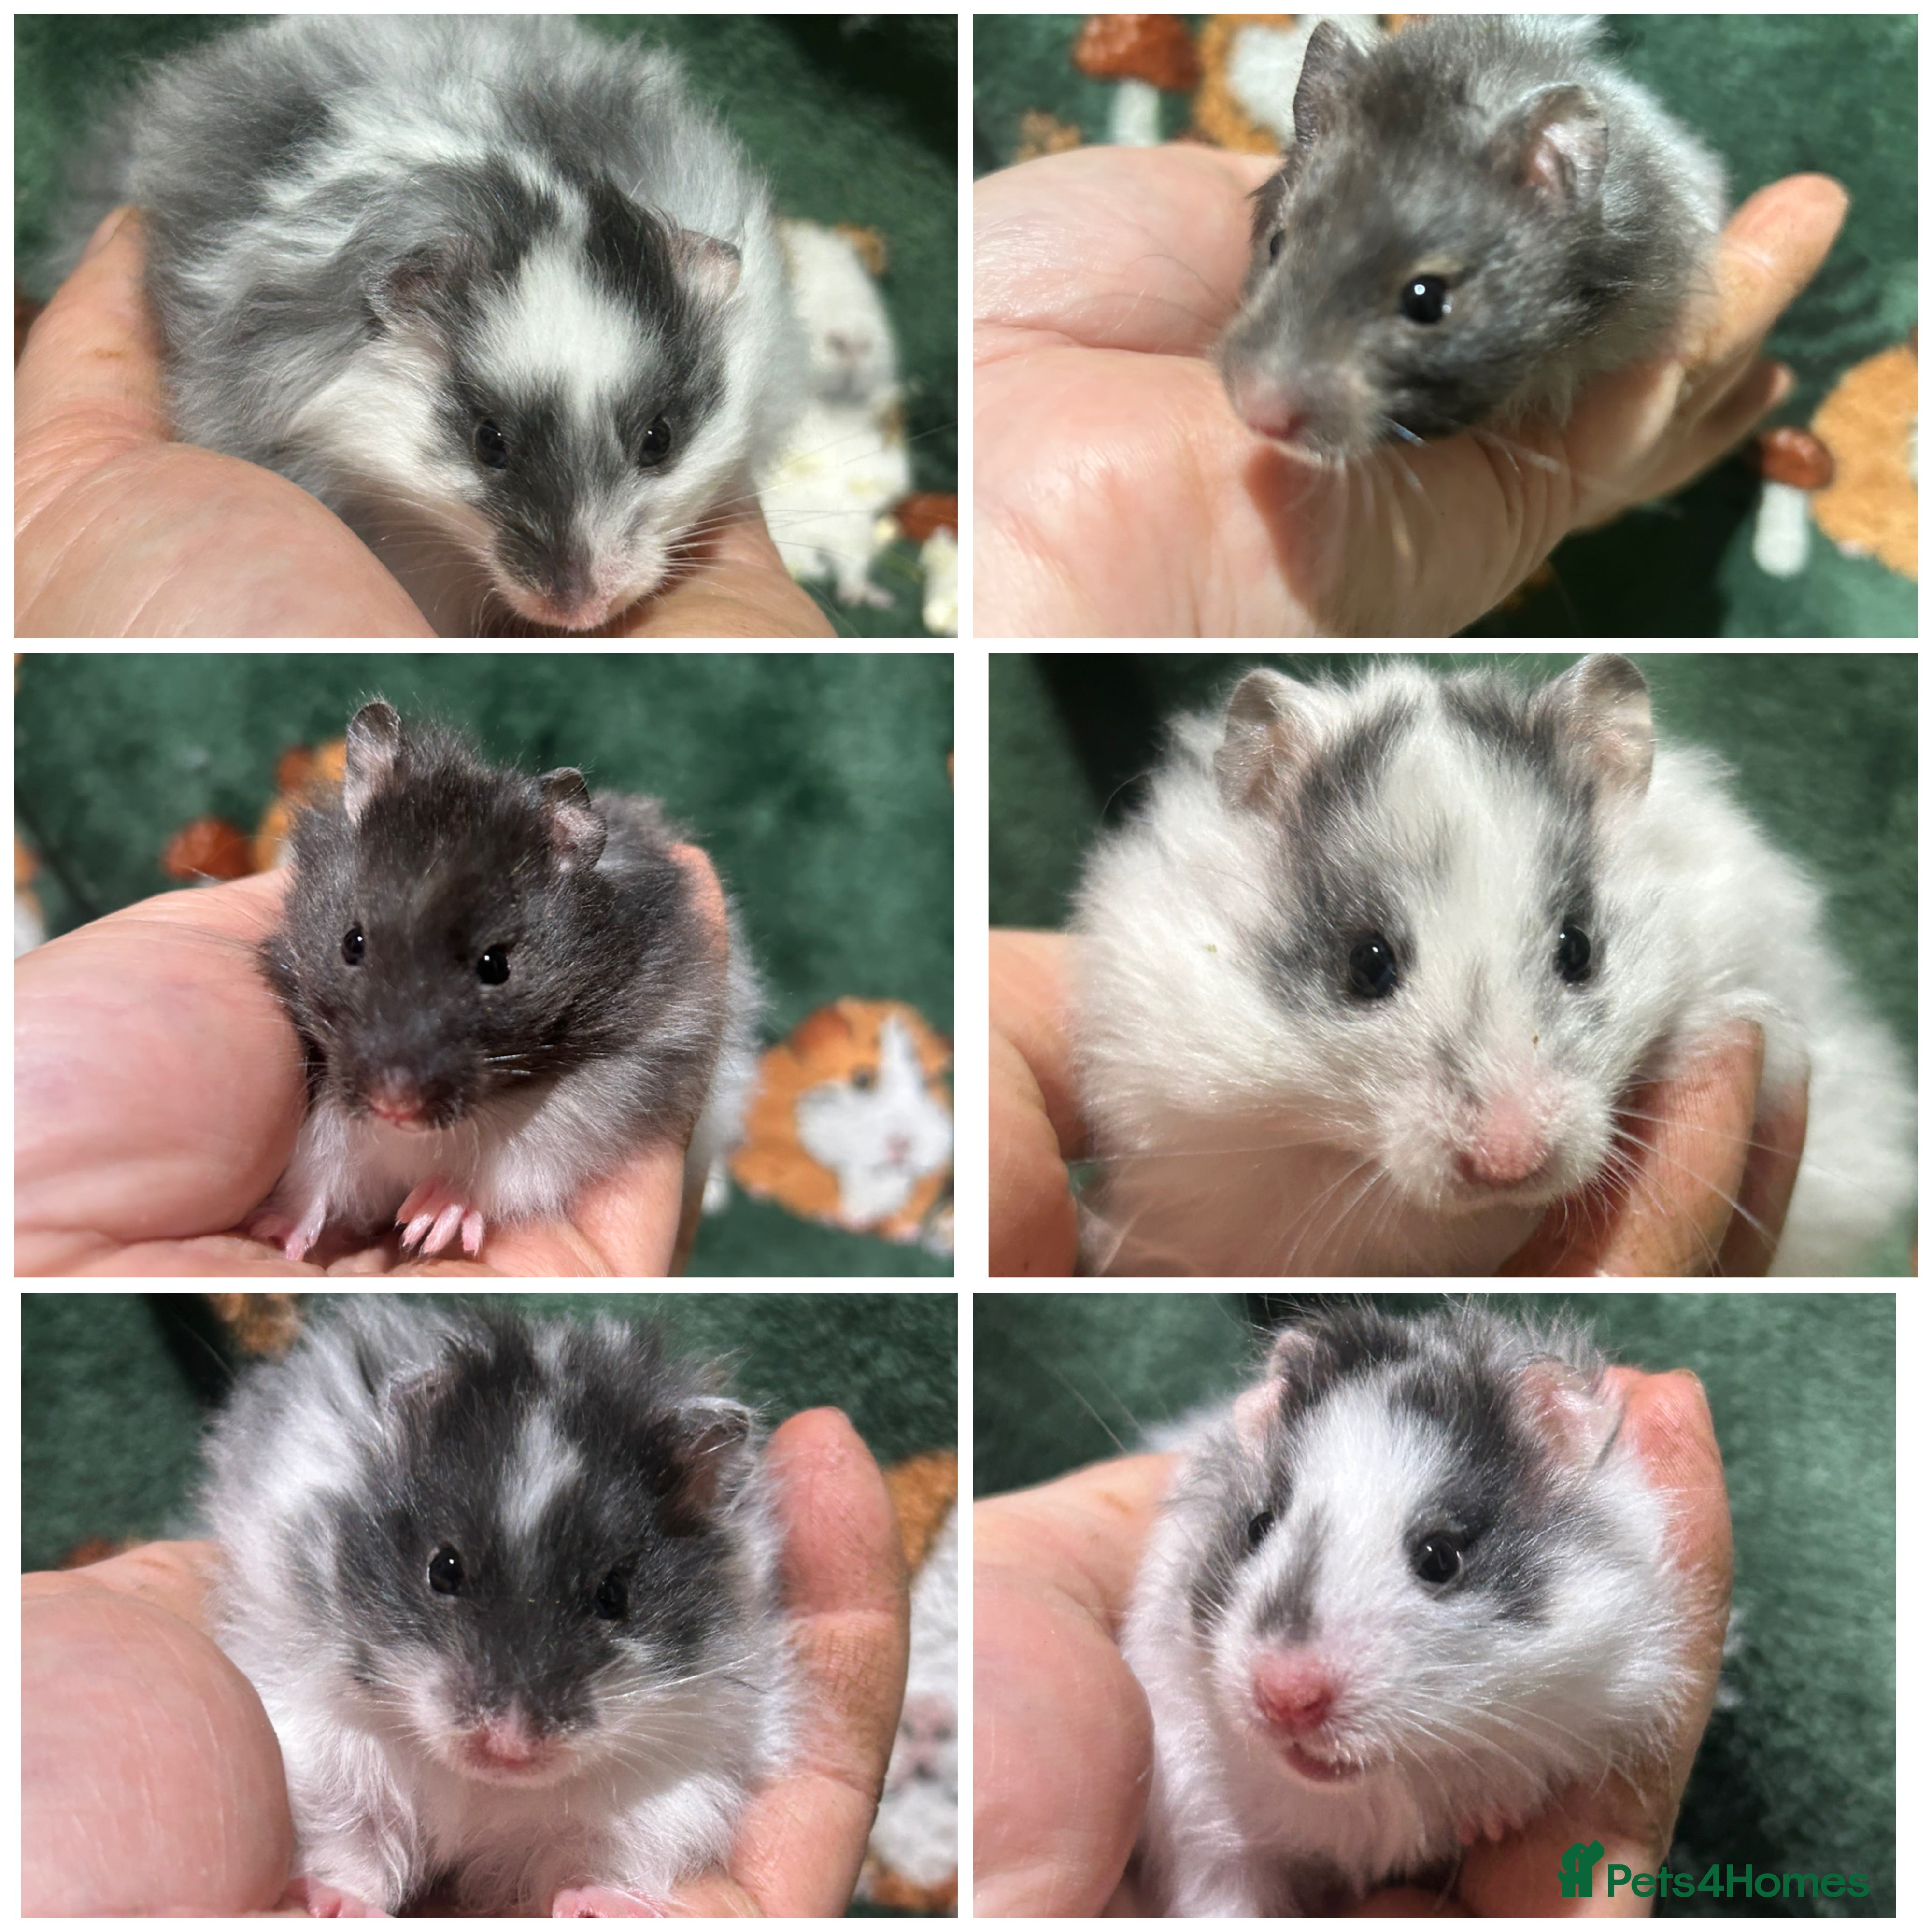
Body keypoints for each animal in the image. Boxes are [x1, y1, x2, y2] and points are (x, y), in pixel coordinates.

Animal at [202, 1296, 794, 1916]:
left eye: (614, 1595)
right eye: (443, 1569)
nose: (510, 1745)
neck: (483, 1783)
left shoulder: (666, 1790)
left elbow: (593, 1857)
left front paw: (596, 1905)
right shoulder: (324, 1752)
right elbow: (356, 1844)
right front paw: (338, 1904)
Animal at [252, 700, 761, 1265]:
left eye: (496, 965)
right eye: (352, 942)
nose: (393, 1106)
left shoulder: (613, 1088)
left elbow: (510, 1161)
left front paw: (432, 1218)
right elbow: (321, 1163)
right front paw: (274, 1235)